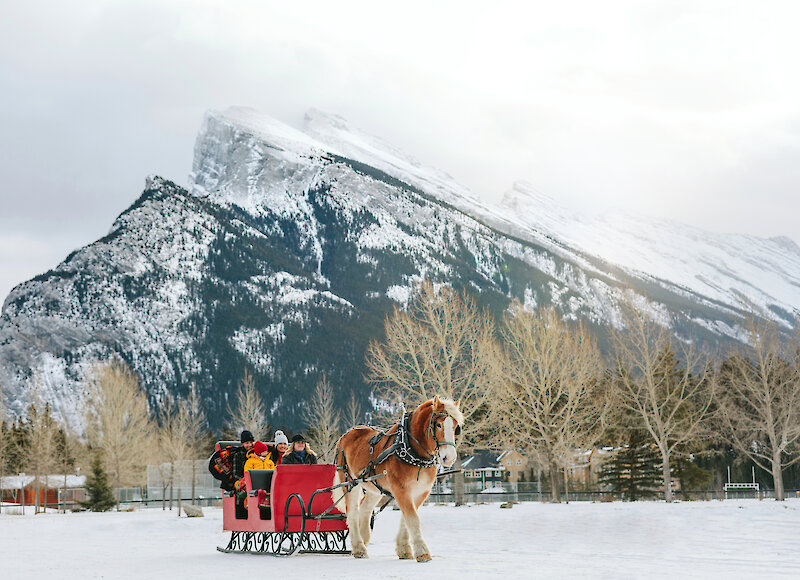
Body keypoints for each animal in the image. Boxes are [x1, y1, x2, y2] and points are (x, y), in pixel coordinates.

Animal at [332, 394, 462, 560]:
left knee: (365, 510)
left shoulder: (421, 492)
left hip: (374, 487)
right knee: (352, 512)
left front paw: (404, 549)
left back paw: (364, 539)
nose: (449, 458)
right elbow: (413, 519)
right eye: (439, 425)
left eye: (456, 426)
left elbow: (407, 518)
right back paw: (359, 547)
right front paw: (422, 551)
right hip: (350, 482)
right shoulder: (401, 489)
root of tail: (345, 435)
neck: (410, 448)